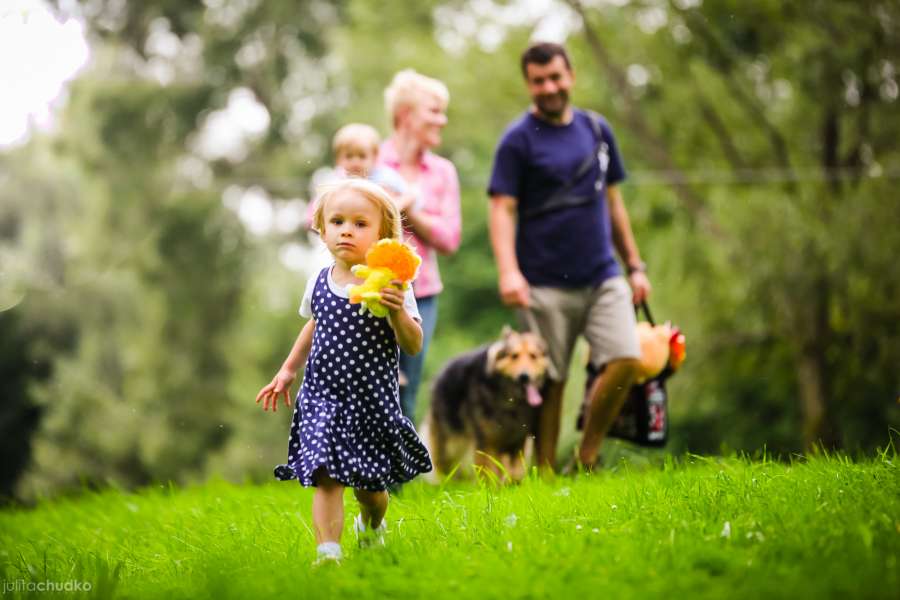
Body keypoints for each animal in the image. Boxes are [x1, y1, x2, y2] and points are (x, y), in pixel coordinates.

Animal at [422, 326, 548, 480]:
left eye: (533, 356)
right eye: (514, 356)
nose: (524, 377)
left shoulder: (518, 440)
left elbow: (515, 470)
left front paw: (513, 483)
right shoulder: (485, 440)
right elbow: (488, 469)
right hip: (450, 443)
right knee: (445, 466)